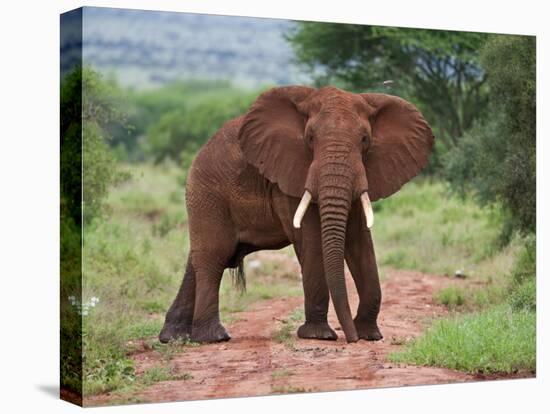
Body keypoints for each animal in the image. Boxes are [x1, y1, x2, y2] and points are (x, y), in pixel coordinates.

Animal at [160, 84, 436, 342]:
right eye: (310, 138)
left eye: (365, 140)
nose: (351, 338)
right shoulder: (290, 176)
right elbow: (312, 241)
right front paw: (319, 335)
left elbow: (360, 243)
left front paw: (370, 336)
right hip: (206, 191)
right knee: (214, 256)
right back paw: (213, 337)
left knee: (199, 258)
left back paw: (174, 337)